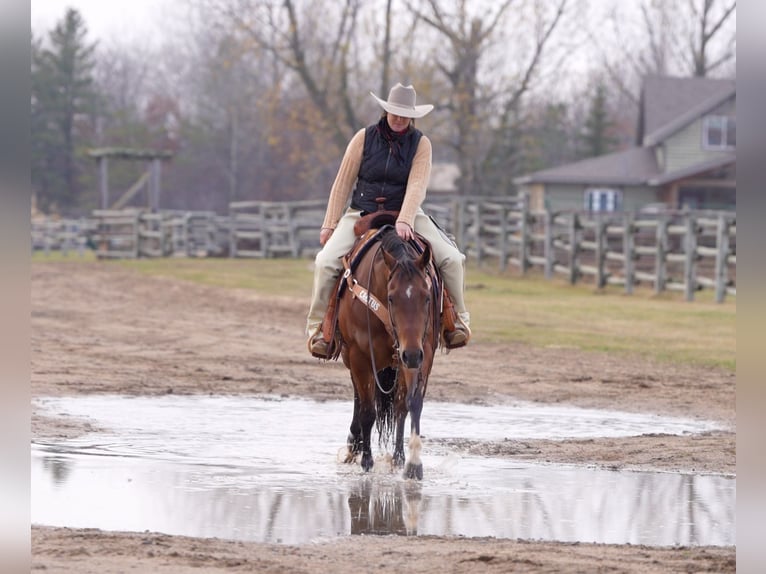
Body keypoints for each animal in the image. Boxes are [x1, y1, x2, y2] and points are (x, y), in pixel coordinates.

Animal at [338, 222, 444, 482]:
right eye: (391, 298)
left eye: (427, 298)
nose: (411, 354)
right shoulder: (360, 357)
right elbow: (367, 410)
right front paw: (367, 461)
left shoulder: (421, 353)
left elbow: (410, 404)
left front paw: (411, 463)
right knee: (359, 398)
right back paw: (354, 445)